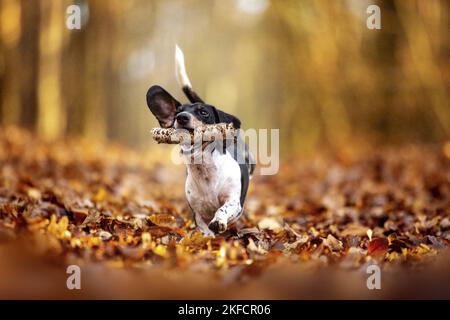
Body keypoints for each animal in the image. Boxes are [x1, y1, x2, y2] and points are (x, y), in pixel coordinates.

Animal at [147, 45, 253, 235]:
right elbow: (204, 229)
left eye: (204, 112)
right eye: (177, 112)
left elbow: (224, 208)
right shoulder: (196, 212)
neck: (204, 169)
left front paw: (218, 221)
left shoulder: (234, 201)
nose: (181, 117)